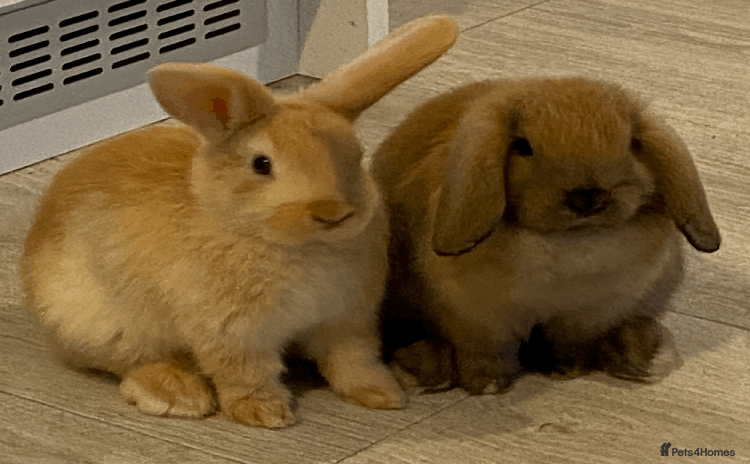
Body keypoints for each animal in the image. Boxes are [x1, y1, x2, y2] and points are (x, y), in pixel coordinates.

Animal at [20, 15, 459, 427]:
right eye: (261, 165)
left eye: (356, 154)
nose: (333, 213)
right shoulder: (234, 333)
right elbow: (247, 373)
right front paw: (265, 413)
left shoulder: (346, 319)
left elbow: (353, 359)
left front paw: (383, 394)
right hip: (103, 326)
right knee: (129, 363)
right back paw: (178, 395)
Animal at [373, 77, 721, 395]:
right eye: (523, 146)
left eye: (633, 144)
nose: (588, 197)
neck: (567, 244)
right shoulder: (476, 320)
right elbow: (484, 354)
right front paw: (488, 386)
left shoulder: (586, 316)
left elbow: (568, 345)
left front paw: (566, 371)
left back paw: (638, 352)